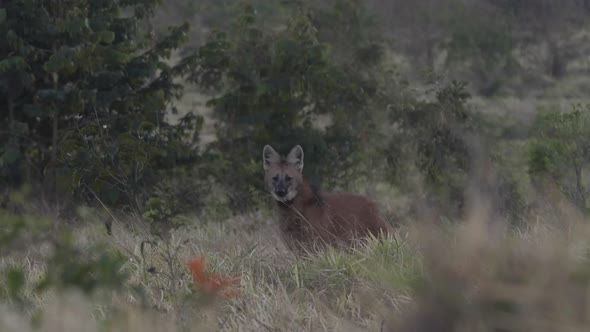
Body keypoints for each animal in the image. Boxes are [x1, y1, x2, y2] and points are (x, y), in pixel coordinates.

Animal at [264, 144, 394, 253]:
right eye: (275, 178)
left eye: (288, 178)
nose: (280, 192)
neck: (293, 209)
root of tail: (373, 205)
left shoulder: (320, 244)